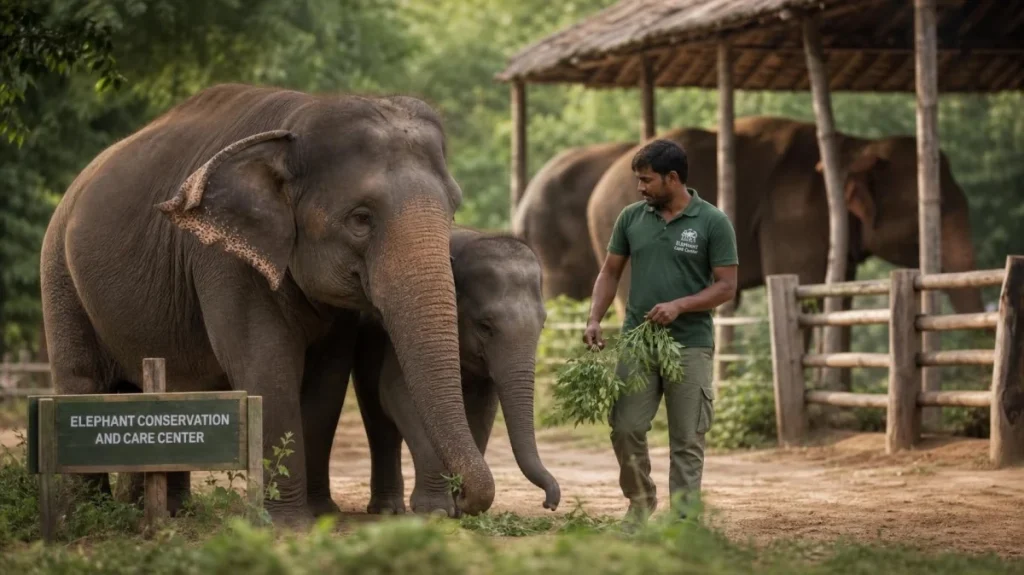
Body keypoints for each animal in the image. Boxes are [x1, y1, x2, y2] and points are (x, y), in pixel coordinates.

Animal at [39, 83, 495, 526]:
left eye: (453, 210)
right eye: (360, 219)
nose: (460, 500)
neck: (297, 122)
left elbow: (327, 379)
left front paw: (320, 513)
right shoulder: (224, 260)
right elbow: (267, 363)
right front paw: (288, 524)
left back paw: (160, 512)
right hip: (59, 275)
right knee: (82, 383)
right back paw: (87, 517)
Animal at [336, 227, 560, 517]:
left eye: (542, 324)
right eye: (485, 326)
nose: (549, 503)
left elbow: (482, 412)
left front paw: (460, 506)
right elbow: (397, 396)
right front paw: (438, 510)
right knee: (379, 421)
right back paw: (387, 510)